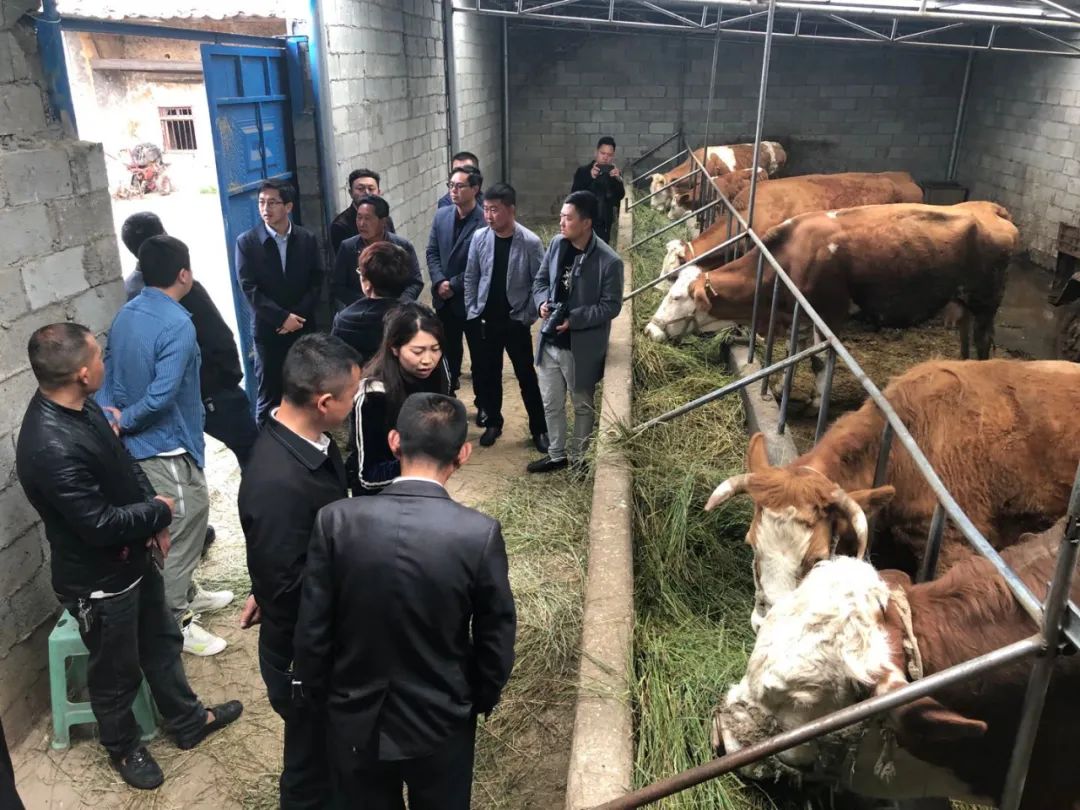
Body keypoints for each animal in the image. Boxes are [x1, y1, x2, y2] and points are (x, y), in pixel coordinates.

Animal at [643, 201, 1015, 369]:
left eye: (677, 296)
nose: (648, 330)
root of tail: (990, 209)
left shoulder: (828, 316)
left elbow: (820, 363)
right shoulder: (798, 317)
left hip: (986, 302)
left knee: (982, 341)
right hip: (965, 301)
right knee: (965, 332)